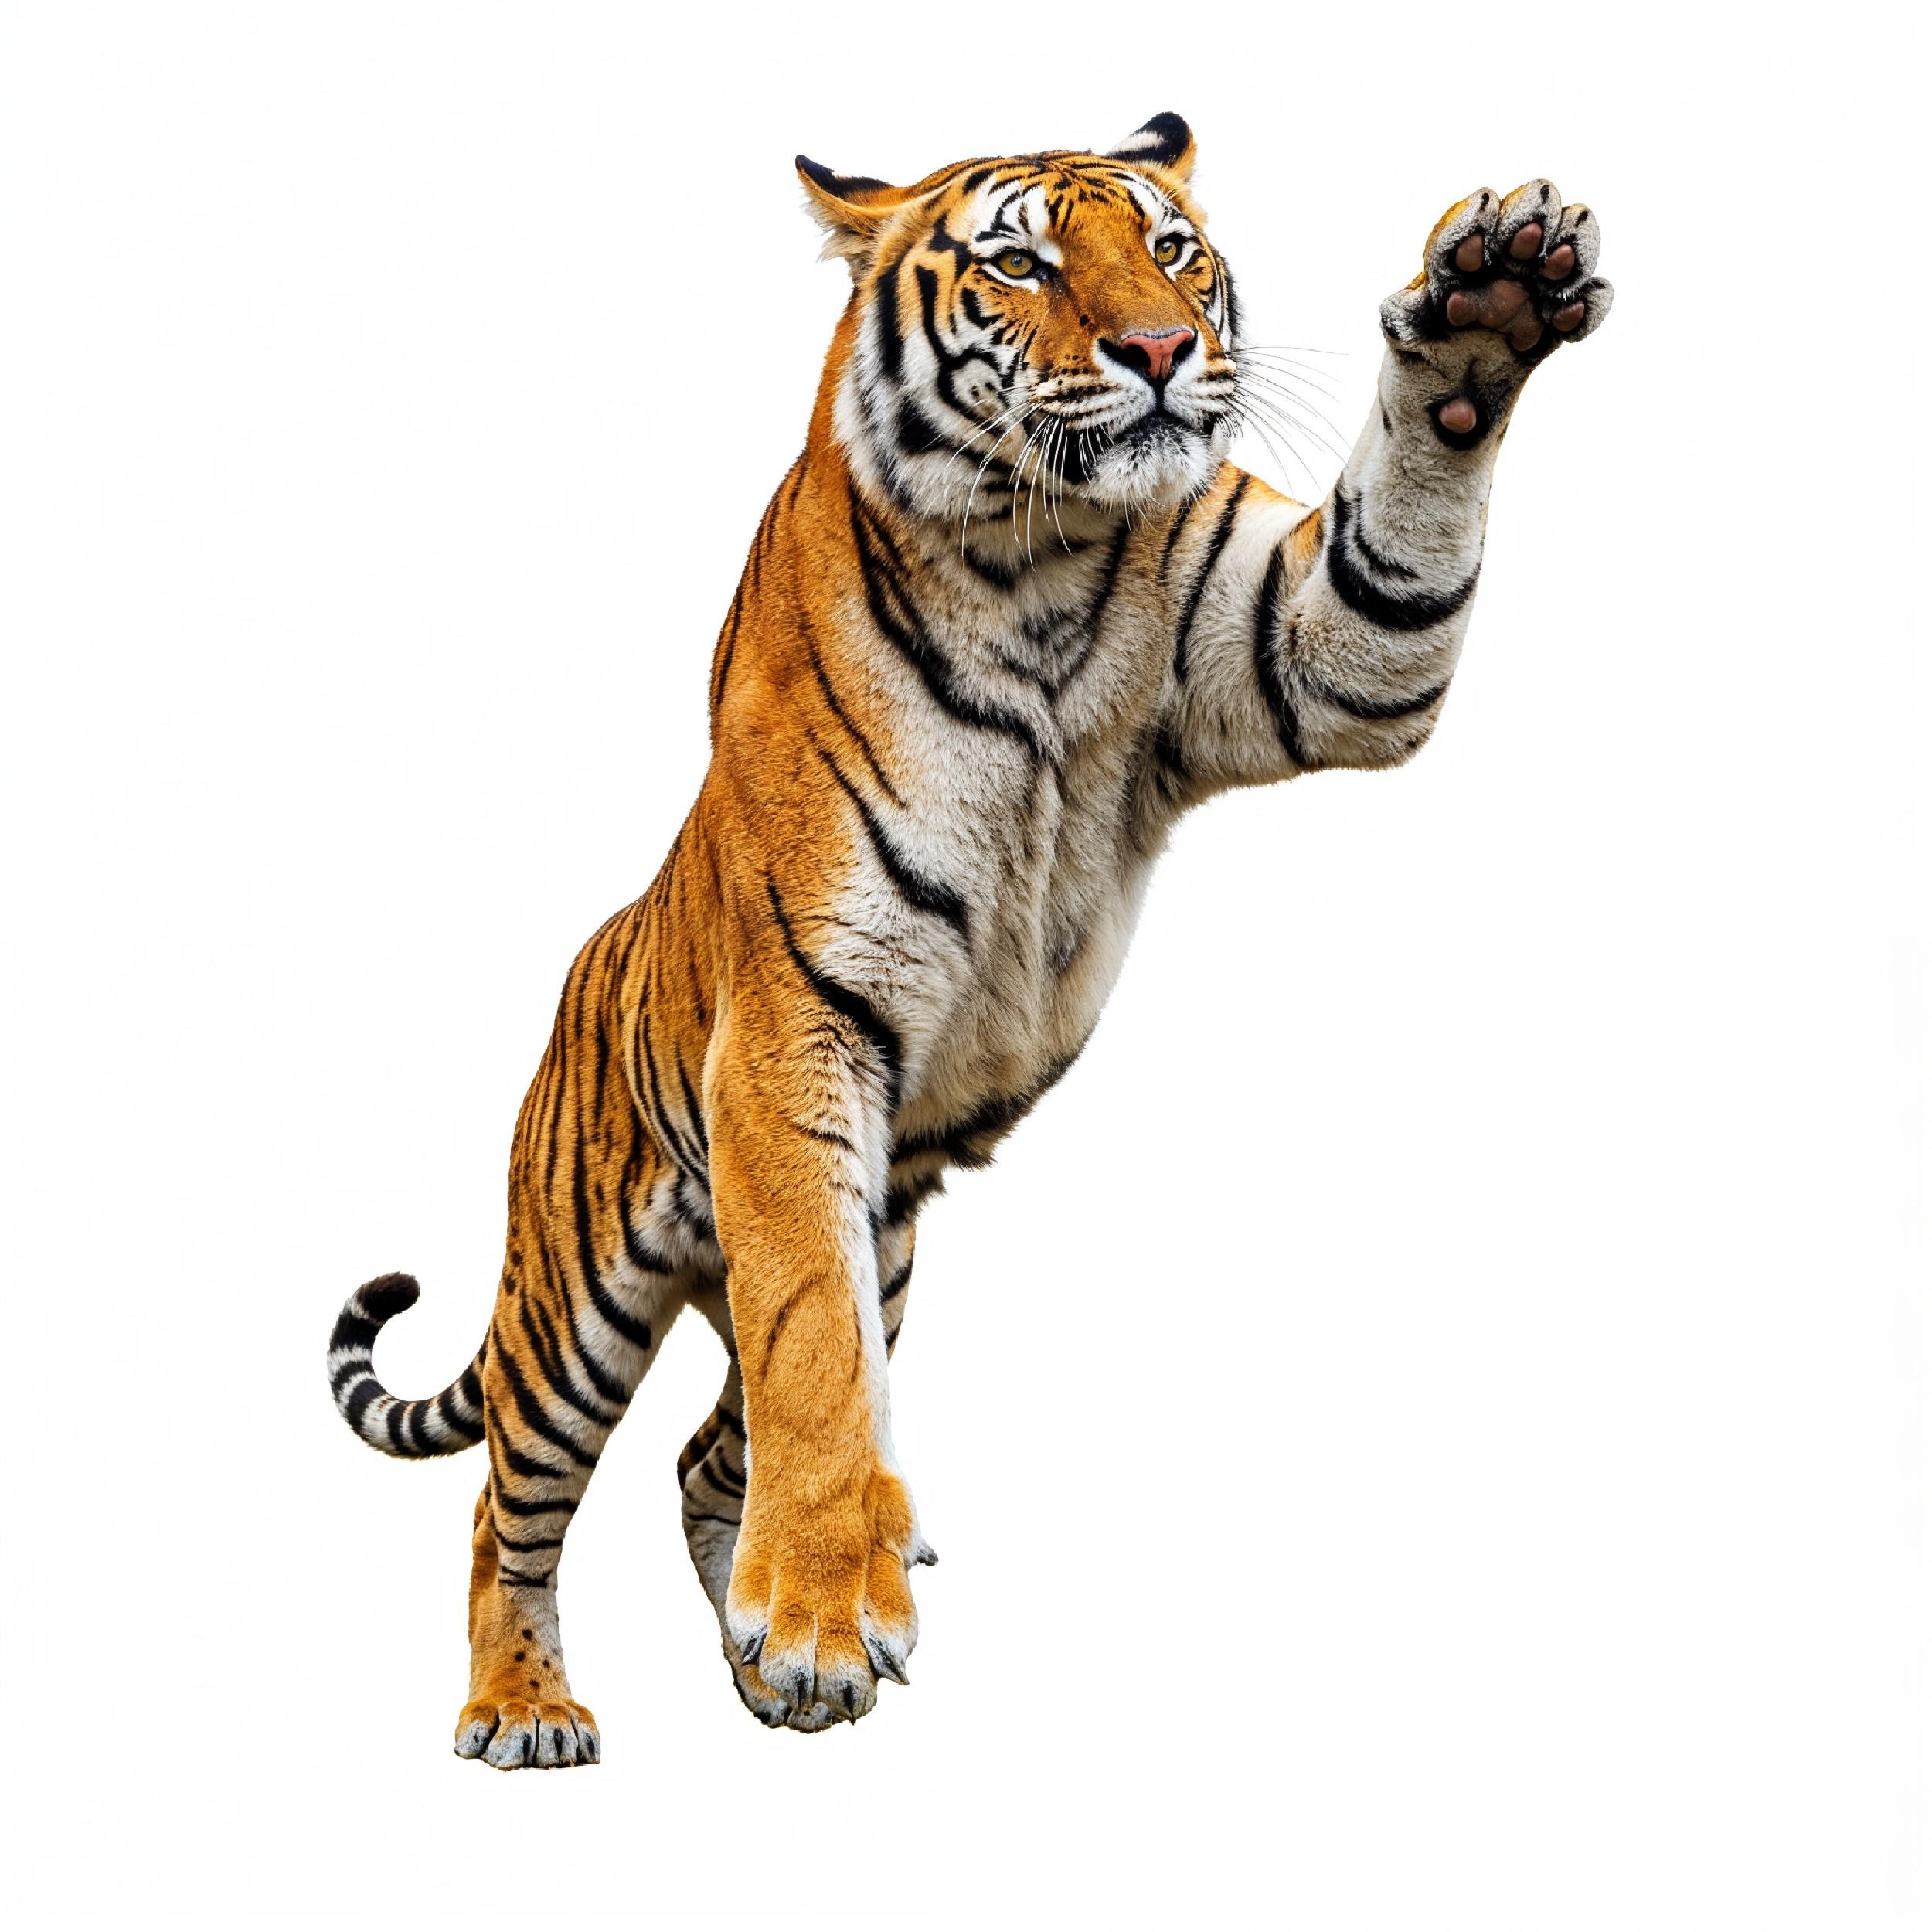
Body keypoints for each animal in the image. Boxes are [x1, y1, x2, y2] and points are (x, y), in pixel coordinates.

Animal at [326, 112, 1612, 1768]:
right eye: (1023, 264)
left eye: (1173, 249)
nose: (1160, 348)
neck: (1040, 554)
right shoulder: (798, 1029)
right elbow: (814, 1356)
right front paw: (821, 1616)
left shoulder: (1313, 650)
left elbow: (1399, 545)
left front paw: (1491, 302)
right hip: (575, 1294)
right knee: (512, 1502)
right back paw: (527, 1707)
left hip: (876, 1247)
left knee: (704, 1458)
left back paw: (770, 1642)